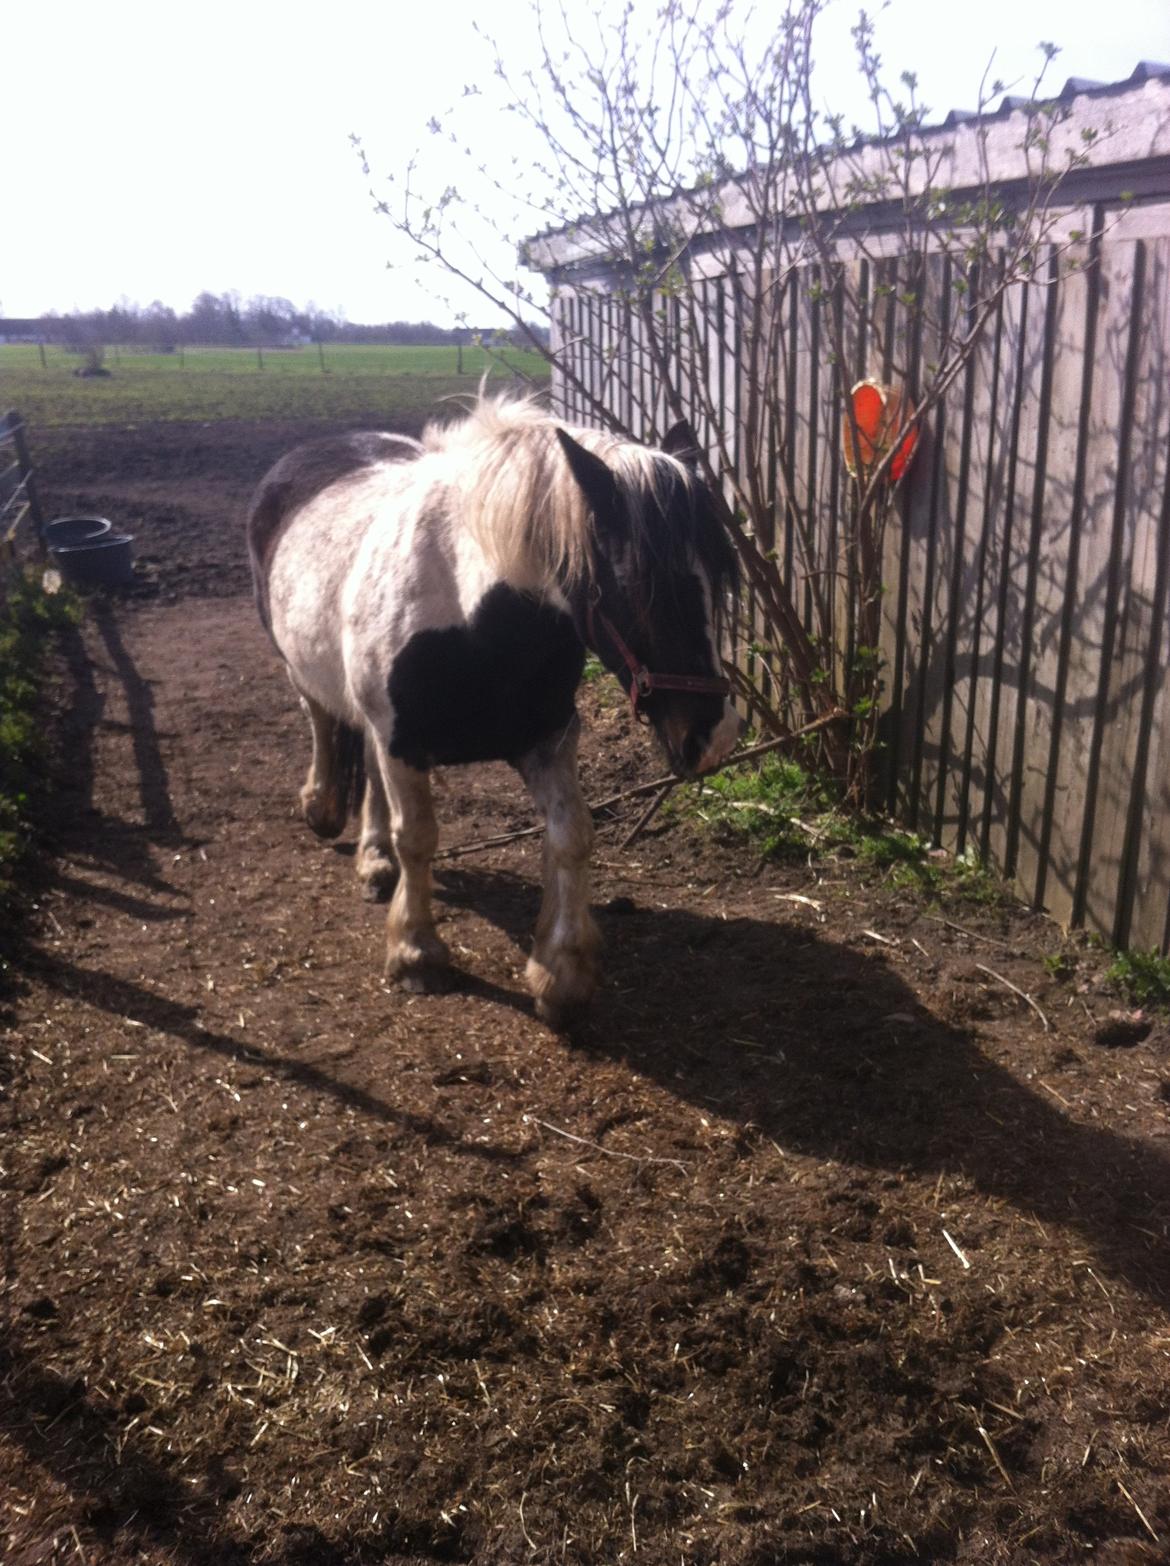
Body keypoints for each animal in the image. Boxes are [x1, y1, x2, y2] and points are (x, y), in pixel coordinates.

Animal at [247, 397, 742, 1021]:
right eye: (638, 585)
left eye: (716, 576)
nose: (715, 735)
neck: (471, 613)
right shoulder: (402, 740)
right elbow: (419, 837)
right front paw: (416, 952)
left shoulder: (546, 738)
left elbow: (571, 832)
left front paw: (561, 971)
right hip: (305, 672)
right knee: (320, 717)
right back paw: (323, 808)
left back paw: (374, 860)